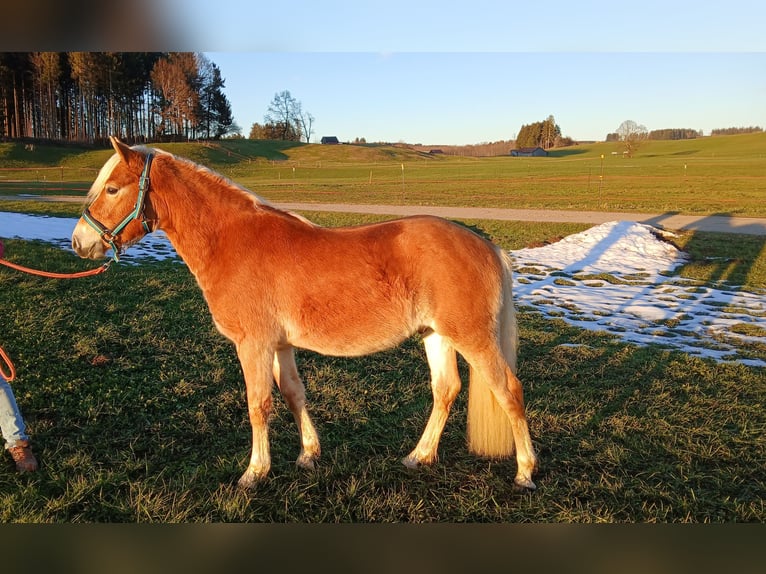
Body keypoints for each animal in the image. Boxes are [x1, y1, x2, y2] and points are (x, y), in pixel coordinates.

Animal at [72, 137, 540, 492]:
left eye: (112, 189)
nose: (79, 243)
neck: (232, 240)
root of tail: (486, 245)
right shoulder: (279, 345)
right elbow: (293, 394)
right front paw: (308, 454)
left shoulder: (254, 345)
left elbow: (258, 404)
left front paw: (254, 473)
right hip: (436, 335)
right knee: (446, 389)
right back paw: (419, 456)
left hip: (472, 338)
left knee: (509, 391)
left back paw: (524, 472)